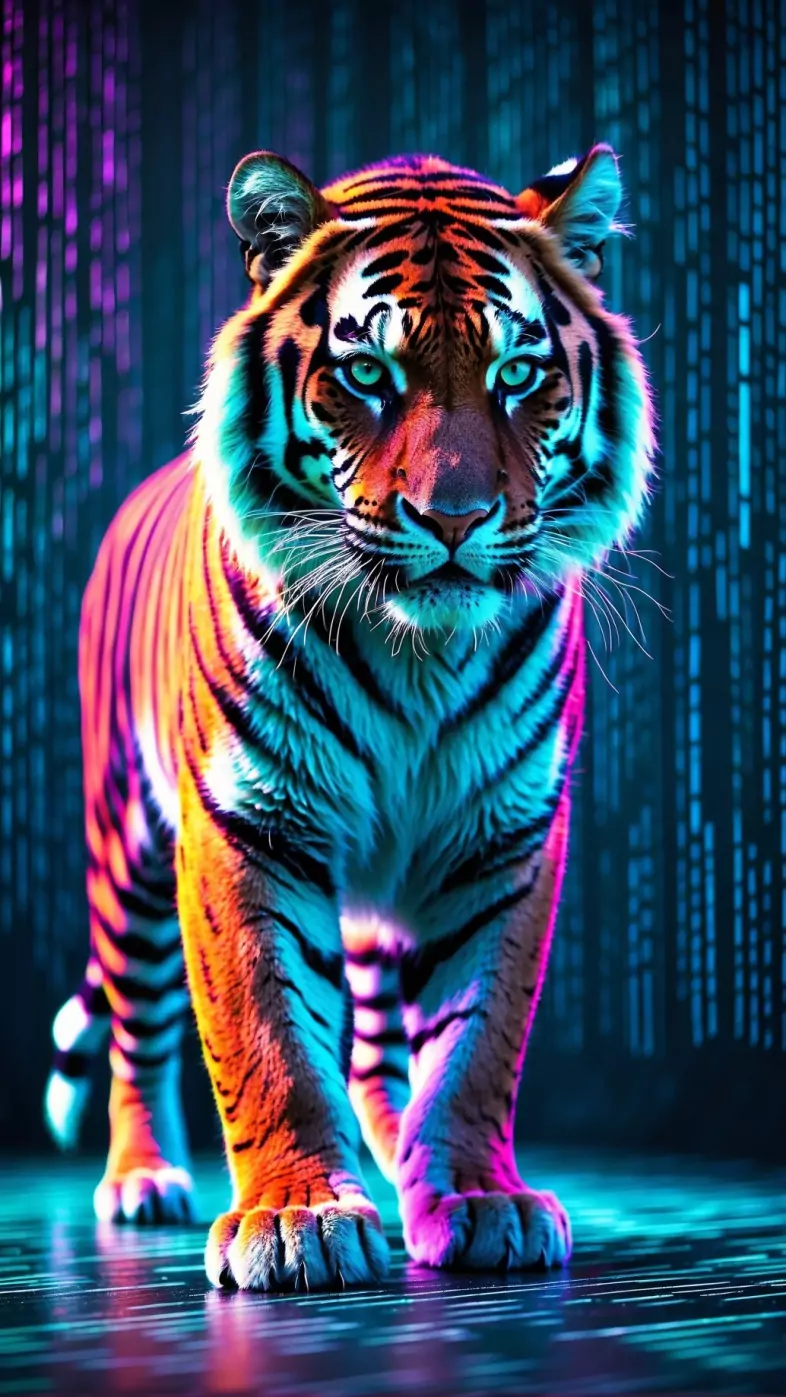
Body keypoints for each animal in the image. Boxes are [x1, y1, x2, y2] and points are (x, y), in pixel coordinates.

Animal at [44, 142, 654, 1290]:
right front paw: (299, 1218)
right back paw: (144, 1178)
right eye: (368, 373)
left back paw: (395, 1147)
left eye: (517, 374)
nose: (456, 520)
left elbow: (477, 1040)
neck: (419, 655)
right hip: (124, 845)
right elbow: (268, 1036)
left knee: (374, 1038)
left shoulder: (503, 833)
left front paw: (478, 1197)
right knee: (140, 1027)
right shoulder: (249, 822)